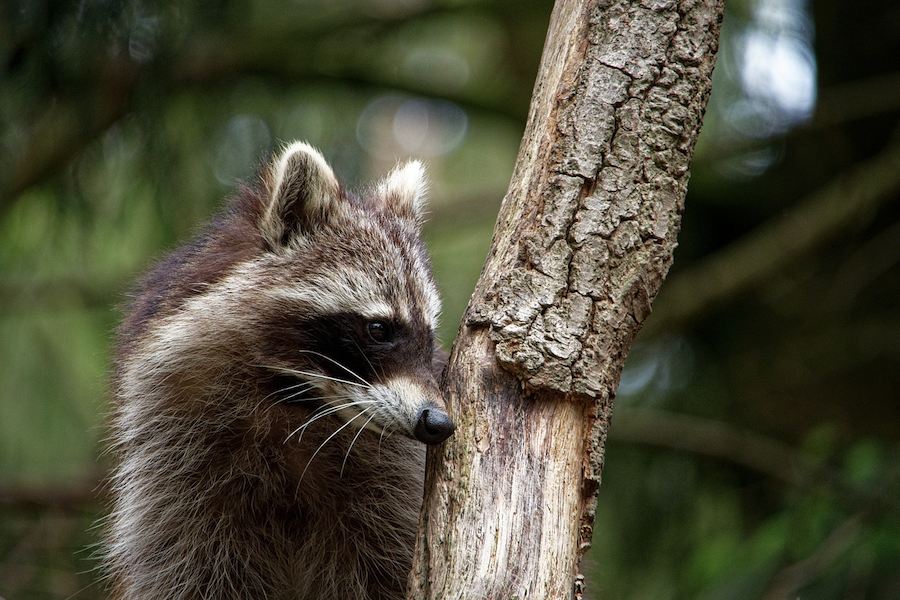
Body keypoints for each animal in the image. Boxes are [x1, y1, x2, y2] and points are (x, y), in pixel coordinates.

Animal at [104, 143, 454, 600]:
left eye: (430, 337)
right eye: (378, 329)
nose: (439, 422)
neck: (295, 402)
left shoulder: (391, 484)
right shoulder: (174, 473)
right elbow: (185, 570)